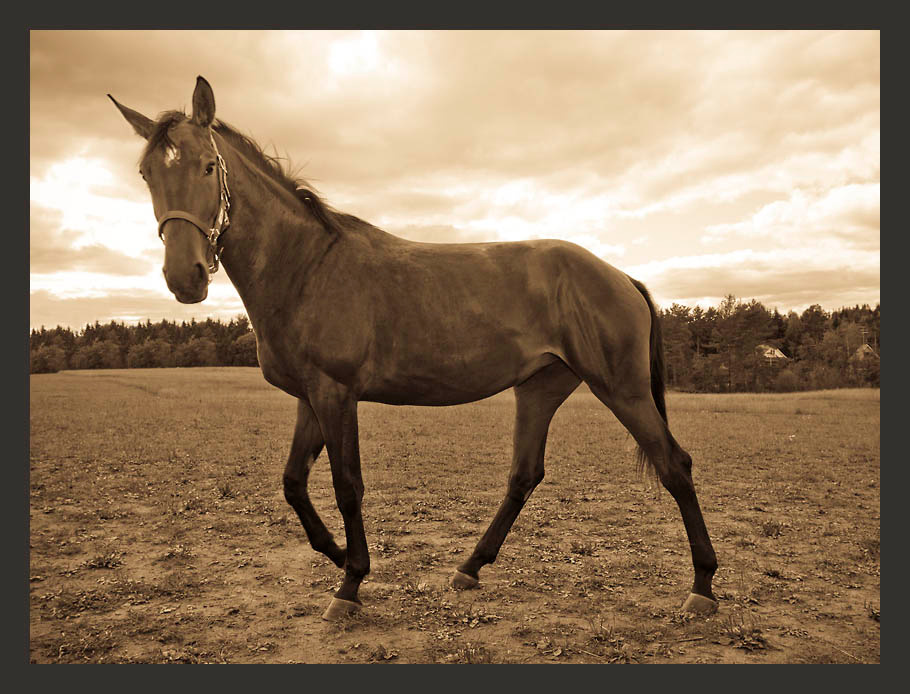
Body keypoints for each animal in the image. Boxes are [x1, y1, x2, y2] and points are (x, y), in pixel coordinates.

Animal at [109, 76, 718, 620]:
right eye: (146, 174)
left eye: (208, 167)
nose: (185, 277)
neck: (307, 267)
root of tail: (619, 276)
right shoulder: (310, 398)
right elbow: (293, 484)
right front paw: (336, 555)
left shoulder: (336, 394)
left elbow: (347, 485)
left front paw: (350, 584)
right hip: (540, 389)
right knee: (524, 475)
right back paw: (469, 568)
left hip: (622, 389)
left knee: (675, 465)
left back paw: (703, 587)